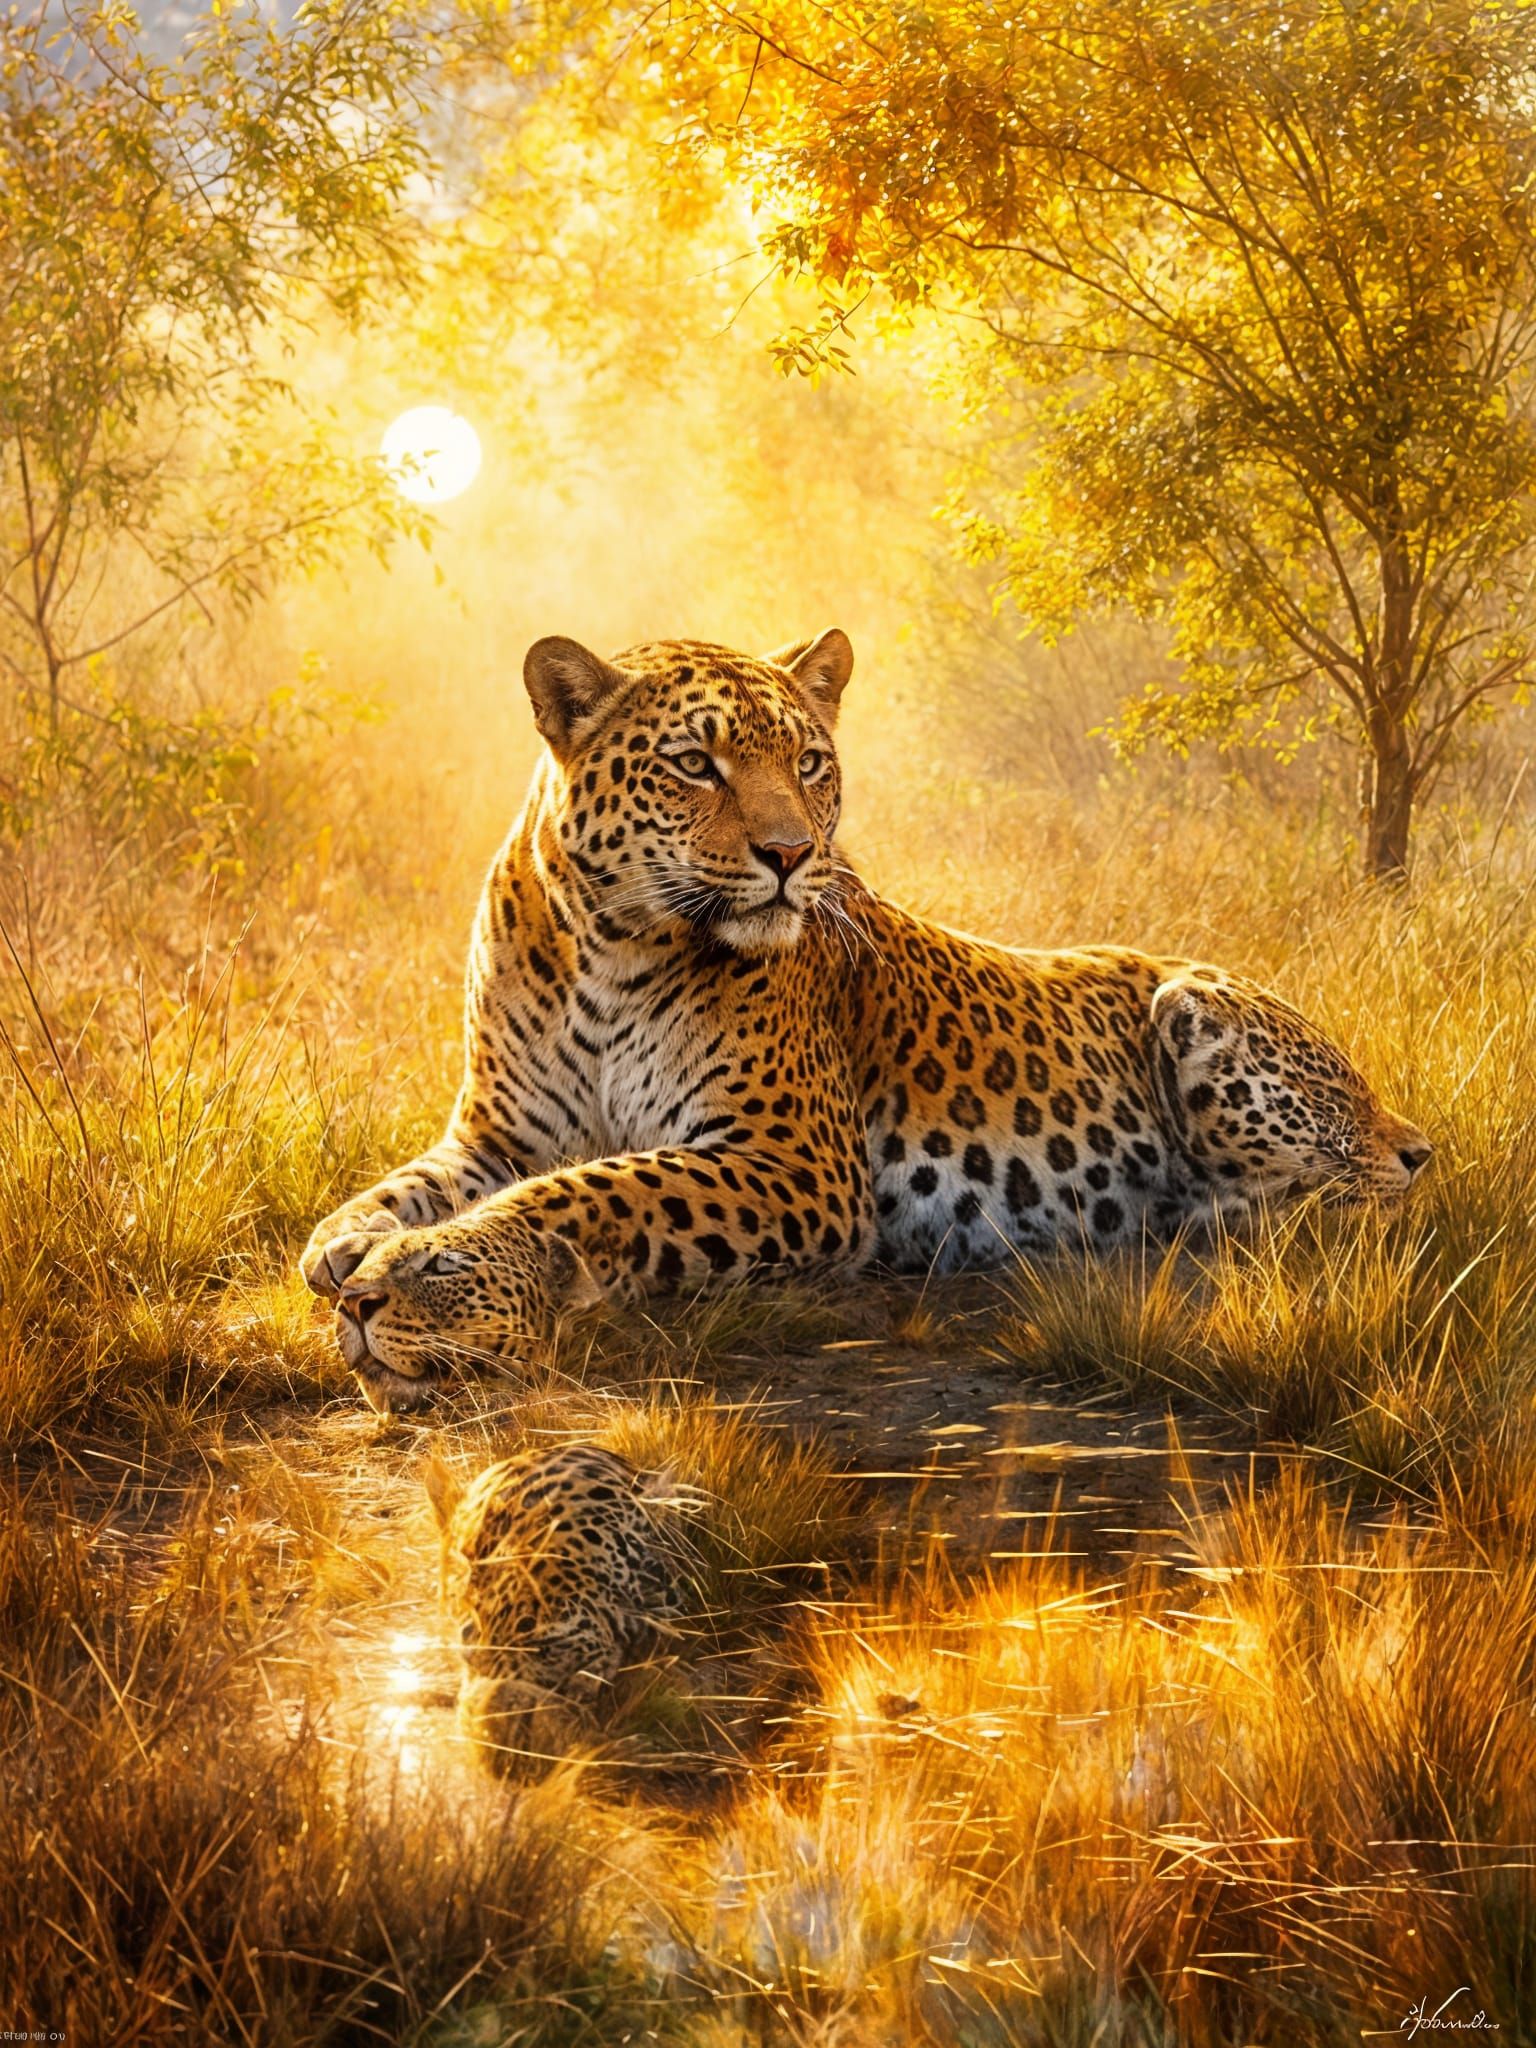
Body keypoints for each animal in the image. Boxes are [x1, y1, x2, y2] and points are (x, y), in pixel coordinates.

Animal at [301, 627, 1432, 1413]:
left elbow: (596, 1188)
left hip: (1204, 1013)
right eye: (695, 763)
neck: (608, 949)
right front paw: (352, 1246)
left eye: (809, 763)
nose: (790, 853)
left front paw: (426, 1279)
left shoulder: (794, 1157)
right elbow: (396, 1192)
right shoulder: (499, 1133)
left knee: (1356, 1203)